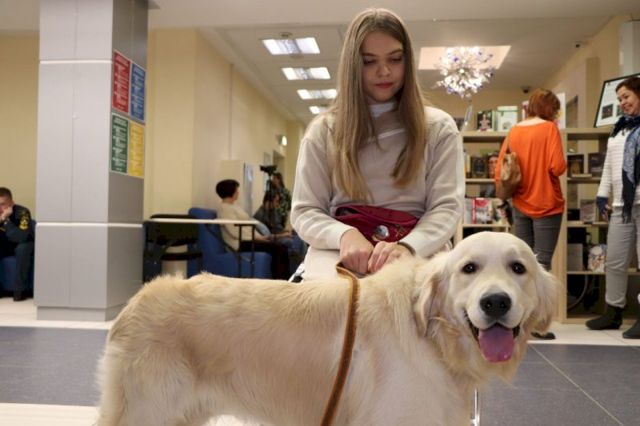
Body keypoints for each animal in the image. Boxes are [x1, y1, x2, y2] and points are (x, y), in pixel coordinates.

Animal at [96, 231, 558, 426]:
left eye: (518, 268)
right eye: (469, 268)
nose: (495, 302)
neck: (433, 338)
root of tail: (134, 302)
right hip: (146, 412)